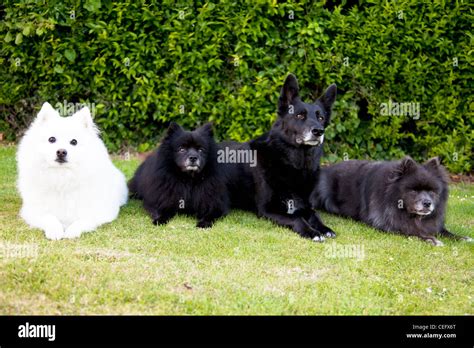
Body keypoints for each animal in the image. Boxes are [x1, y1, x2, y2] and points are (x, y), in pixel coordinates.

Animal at [16, 102, 129, 241]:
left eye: (74, 142)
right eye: (51, 139)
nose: (61, 152)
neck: (62, 177)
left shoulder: (101, 211)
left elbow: (83, 220)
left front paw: (72, 231)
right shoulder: (33, 210)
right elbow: (49, 217)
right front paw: (55, 230)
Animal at [250, 74, 338, 242]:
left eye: (321, 118)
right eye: (300, 115)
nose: (319, 131)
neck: (295, 165)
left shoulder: (306, 205)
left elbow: (315, 215)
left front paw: (324, 228)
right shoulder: (266, 209)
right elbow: (296, 218)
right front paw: (312, 232)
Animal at [312, 156, 472, 246]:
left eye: (432, 191)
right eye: (414, 190)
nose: (427, 203)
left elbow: (446, 232)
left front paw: (463, 238)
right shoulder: (389, 225)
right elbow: (410, 231)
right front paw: (431, 240)